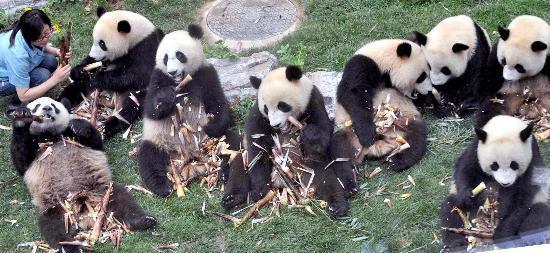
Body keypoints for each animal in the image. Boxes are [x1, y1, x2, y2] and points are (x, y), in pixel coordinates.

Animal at [7, 97, 157, 253]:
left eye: (54, 105)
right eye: (37, 106)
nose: (47, 108)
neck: (50, 135)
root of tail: (84, 214)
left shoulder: (71, 135)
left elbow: (95, 142)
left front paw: (79, 127)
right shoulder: (34, 149)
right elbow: (21, 159)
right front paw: (21, 117)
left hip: (103, 192)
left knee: (123, 200)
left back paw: (143, 220)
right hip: (59, 208)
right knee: (53, 227)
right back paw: (72, 247)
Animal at [60, 6, 165, 138]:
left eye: (102, 43)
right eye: (94, 40)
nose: (93, 55)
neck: (136, 37)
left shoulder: (147, 49)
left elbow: (133, 76)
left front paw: (94, 77)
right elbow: (90, 64)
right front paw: (79, 71)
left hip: (139, 93)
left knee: (130, 107)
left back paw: (107, 127)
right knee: (73, 90)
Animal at [139, 25, 236, 198]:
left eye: (179, 55)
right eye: (165, 58)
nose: (172, 72)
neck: (182, 82)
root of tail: (190, 155)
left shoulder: (205, 74)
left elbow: (217, 103)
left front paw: (211, 126)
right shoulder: (157, 77)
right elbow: (151, 109)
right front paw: (166, 96)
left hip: (212, 141)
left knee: (231, 144)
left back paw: (226, 173)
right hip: (161, 140)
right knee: (149, 157)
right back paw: (162, 186)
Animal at [224, 66, 354, 216]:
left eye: (282, 105)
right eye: (266, 108)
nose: (275, 124)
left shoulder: (313, 101)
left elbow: (323, 132)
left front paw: (308, 134)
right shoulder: (258, 114)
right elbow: (257, 148)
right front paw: (260, 189)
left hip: (308, 166)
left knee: (325, 179)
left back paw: (337, 205)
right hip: (243, 160)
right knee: (240, 169)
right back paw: (234, 197)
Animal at [440, 115, 550, 251]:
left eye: (514, 165)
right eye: (494, 165)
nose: (505, 183)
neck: (504, 125)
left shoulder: (533, 156)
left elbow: (521, 200)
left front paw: (502, 235)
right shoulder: (476, 148)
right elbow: (464, 169)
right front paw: (467, 196)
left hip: (538, 204)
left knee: (538, 215)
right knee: (451, 208)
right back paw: (456, 242)